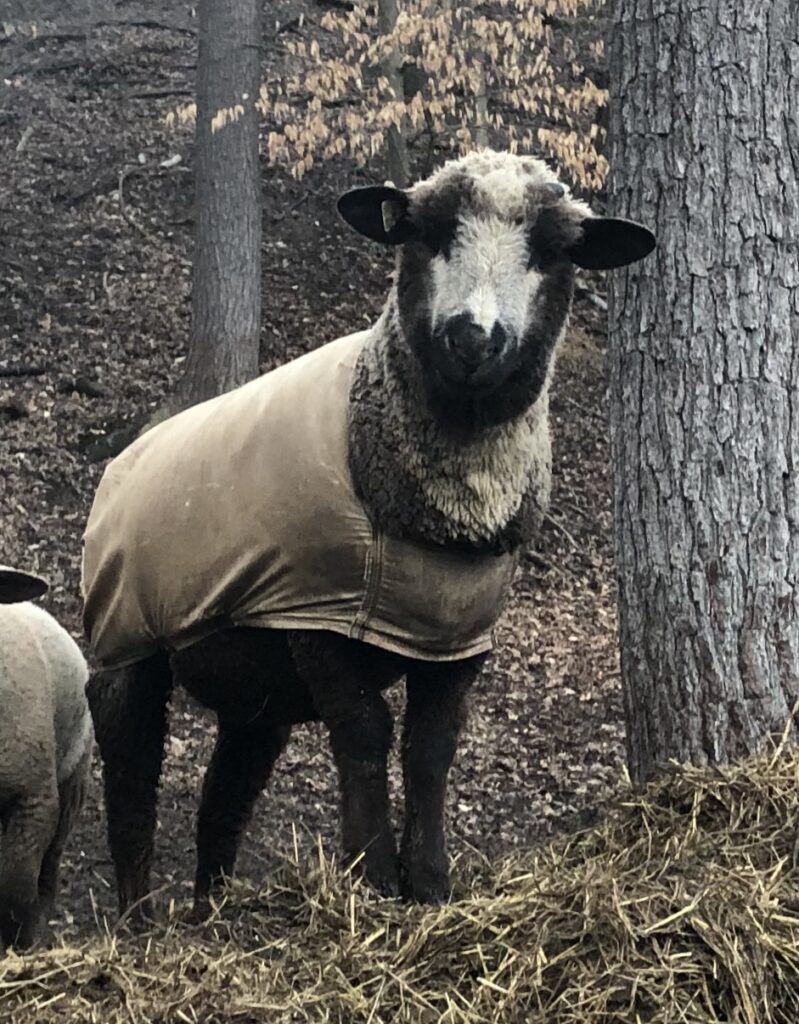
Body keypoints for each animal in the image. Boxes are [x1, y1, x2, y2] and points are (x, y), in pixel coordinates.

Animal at [82, 149, 655, 913]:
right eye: (426, 231)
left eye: (551, 248)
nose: (471, 337)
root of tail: (125, 459)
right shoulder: (316, 622)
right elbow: (364, 734)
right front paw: (374, 879)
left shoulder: (457, 637)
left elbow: (431, 748)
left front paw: (432, 884)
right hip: (126, 639)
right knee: (130, 778)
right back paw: (140, 919)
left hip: (253, 692)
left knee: (222, 801)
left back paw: (212, 916)